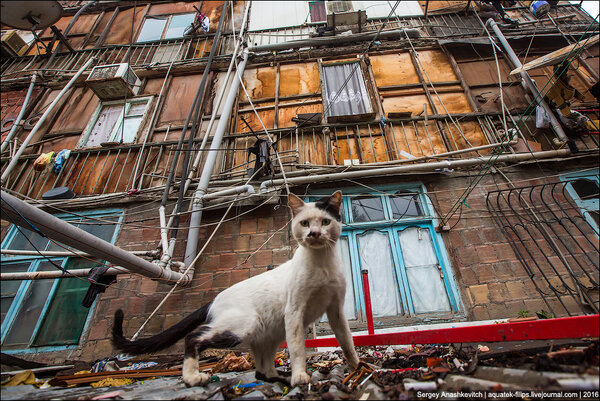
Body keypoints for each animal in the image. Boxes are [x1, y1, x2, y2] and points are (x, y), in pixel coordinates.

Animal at [112, 192, 356, 386]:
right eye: (305, 223)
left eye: (325, 221)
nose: (314, 233)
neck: (321, 263)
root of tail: (214, 299)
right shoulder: (295, 310)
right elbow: (297, 349)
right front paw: (299, 376)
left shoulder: (336, 310)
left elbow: (346, 341)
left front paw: (356, 366)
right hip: (245, 325)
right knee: (193, 337)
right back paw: (192, 378)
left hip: (270, 333)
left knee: (260, 372)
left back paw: (277, 377)